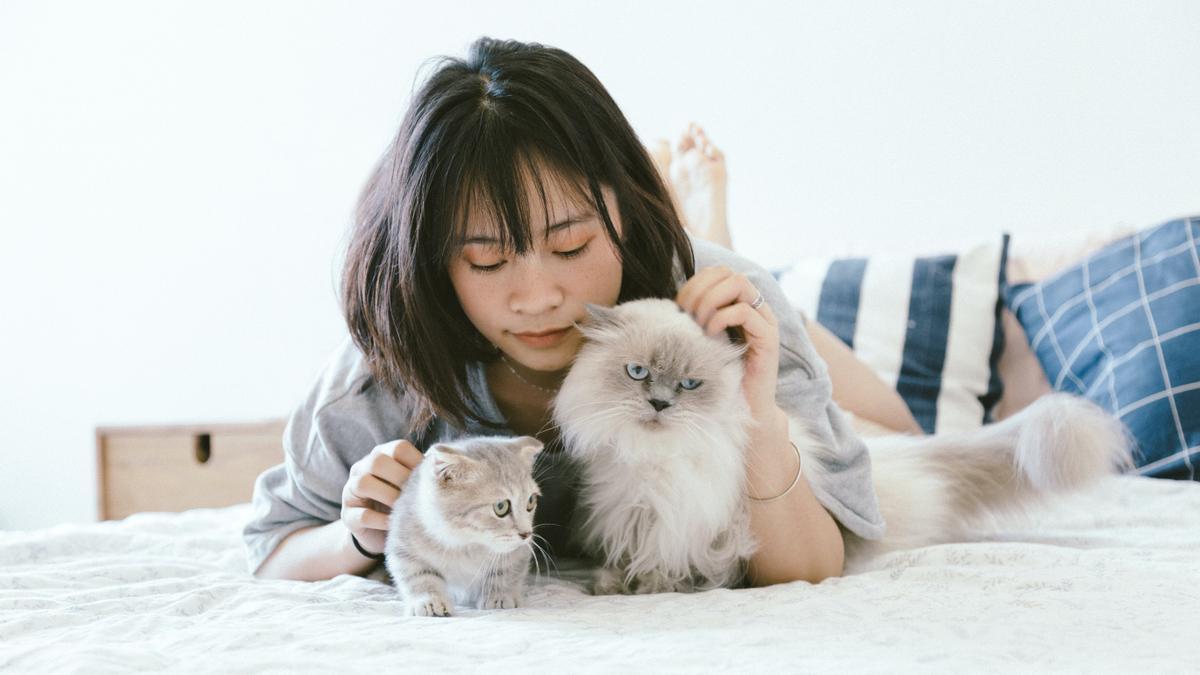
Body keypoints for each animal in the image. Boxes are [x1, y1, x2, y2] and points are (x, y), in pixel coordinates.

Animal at [384, 432, 544, 612]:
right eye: (501, 507)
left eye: (530, 502)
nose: (526, 534)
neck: (467, 543)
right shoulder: (404, 541)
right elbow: (418, 574)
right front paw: (430, 601)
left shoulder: (519, 551)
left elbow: (506, 571)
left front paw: (500, 596)